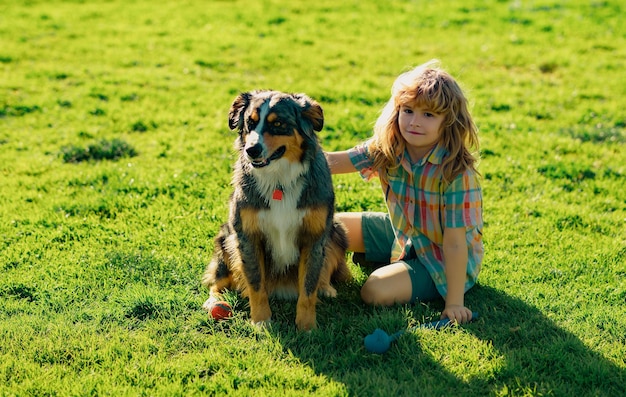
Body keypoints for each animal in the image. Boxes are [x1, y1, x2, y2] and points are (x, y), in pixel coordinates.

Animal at [204, 90, 352, 332]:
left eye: (278, 124)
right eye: (250, 123)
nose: (251, 150)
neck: (279, 181)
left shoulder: (314, 236)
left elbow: (308, 287)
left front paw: (307, 327)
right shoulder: (247, 235)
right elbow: (256, 283)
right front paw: (261, 321)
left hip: (337, 231)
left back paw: (326, 288)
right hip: (226, 237)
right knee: (218, 280)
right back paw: (215, 301)